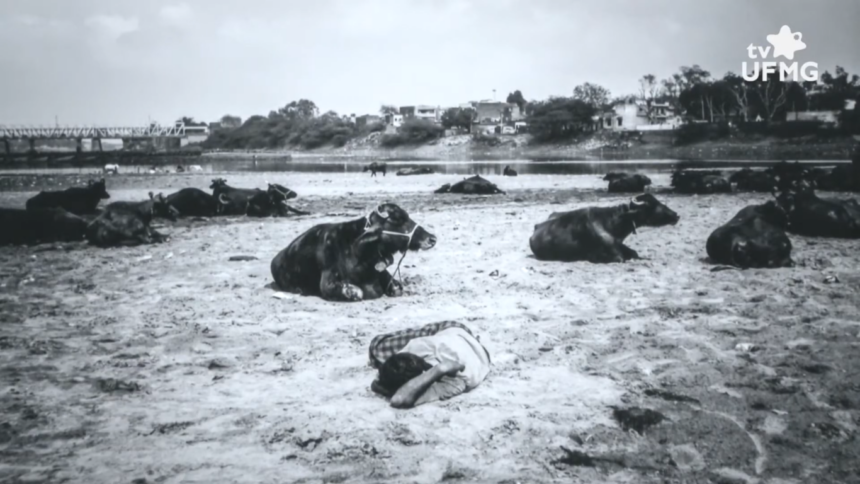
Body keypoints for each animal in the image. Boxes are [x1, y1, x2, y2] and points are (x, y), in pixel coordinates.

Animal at [532, 192, 680, 262]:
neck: (611, 221)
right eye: (652, 205)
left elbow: (634, 253)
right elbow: (620, 258)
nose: (676, 215)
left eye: (659, 201)